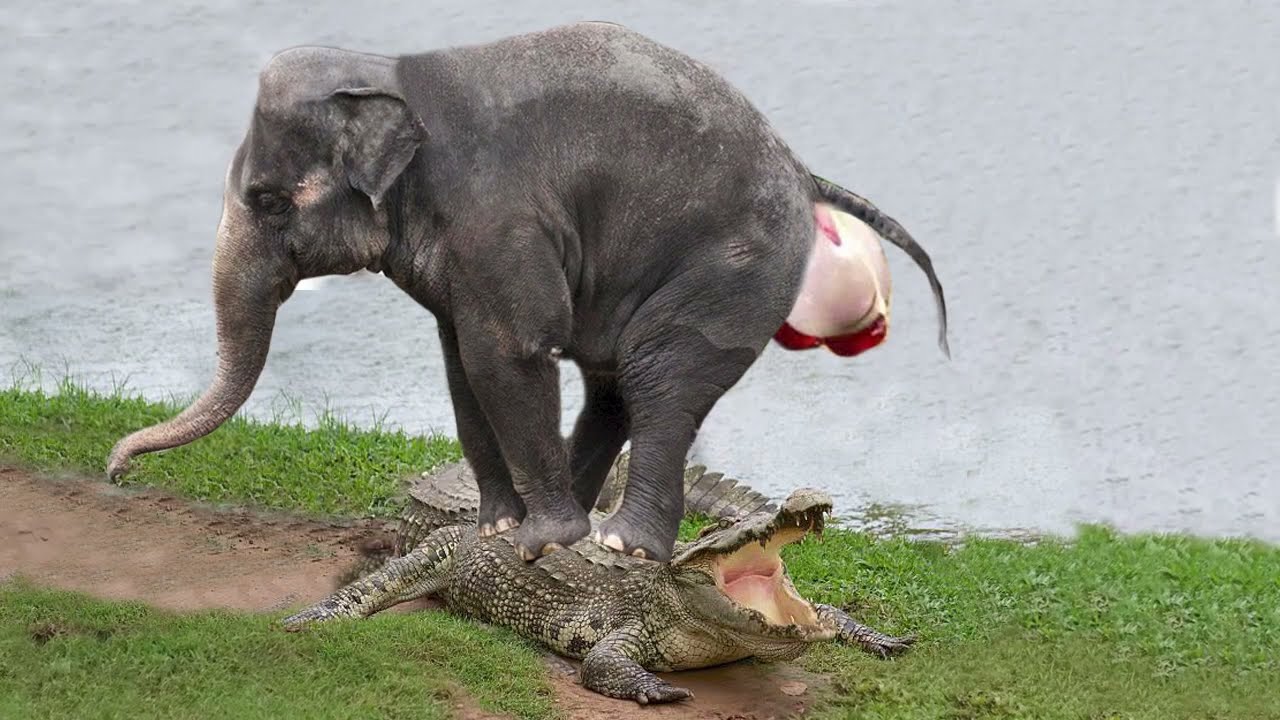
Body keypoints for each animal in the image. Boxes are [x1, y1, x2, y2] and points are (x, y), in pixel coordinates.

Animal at [106, 21, 949, 563]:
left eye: (270, 200)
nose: (116, 473)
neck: (392, 73)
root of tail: (803, 170)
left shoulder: (497, 215)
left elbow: (506, 352)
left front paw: (542, 542)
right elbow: (461, 360)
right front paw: (498, 533)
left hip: (734, 271)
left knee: (657, 378)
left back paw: (619, 544)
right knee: (615, 383)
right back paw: (587, 514)